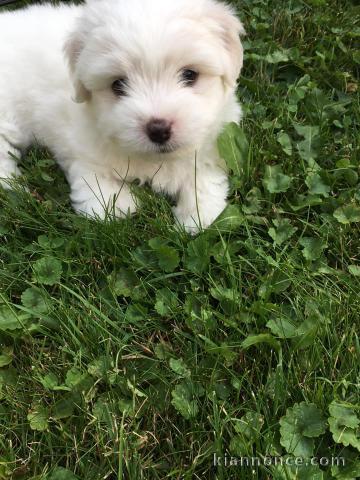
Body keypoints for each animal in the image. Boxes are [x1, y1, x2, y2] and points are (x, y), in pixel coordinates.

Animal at [0, 0, 245, 232]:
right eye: (118, 84)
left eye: (189, 75)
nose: (158, 129)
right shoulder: (83, 149)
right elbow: (97, 188)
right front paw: (118, 206)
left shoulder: (212, 142)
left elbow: (203, 178)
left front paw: (197, 217)